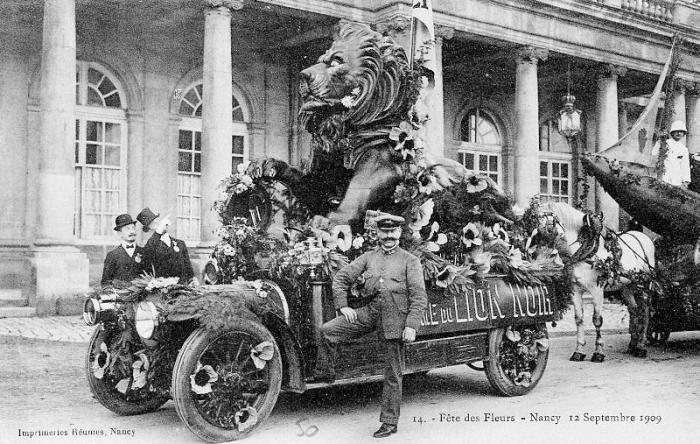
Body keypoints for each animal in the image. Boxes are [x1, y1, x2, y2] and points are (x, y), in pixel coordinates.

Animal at [536, 201, 656, 360]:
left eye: (545, 219)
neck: (584, 250)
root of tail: (643, 237)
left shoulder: (597, 290)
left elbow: (597, 320)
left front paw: (598, 352)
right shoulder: (575, 290)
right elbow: (579, 319)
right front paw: (579, 351)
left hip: (643, 285)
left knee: (645, 312)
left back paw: (641, 346)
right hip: (626, 287)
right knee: (634, 311)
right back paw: (633, 345)